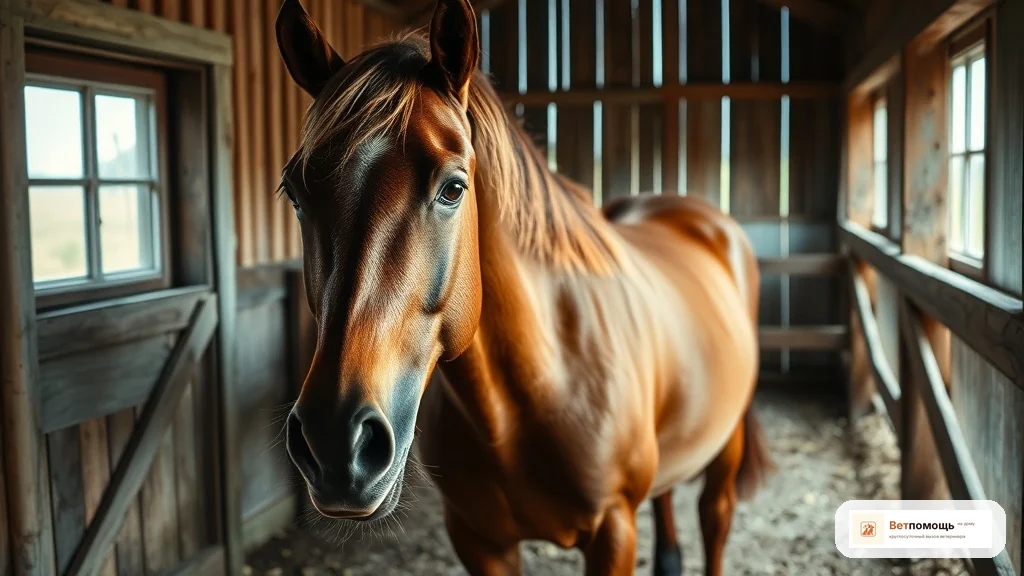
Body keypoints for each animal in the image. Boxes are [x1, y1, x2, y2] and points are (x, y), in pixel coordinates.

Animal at [274, 0, 770, 574]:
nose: (335, 443)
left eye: (453, 188)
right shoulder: (479, 540)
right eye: (295, 194)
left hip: (726, 442)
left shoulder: (614, 530)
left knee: (716, 516)